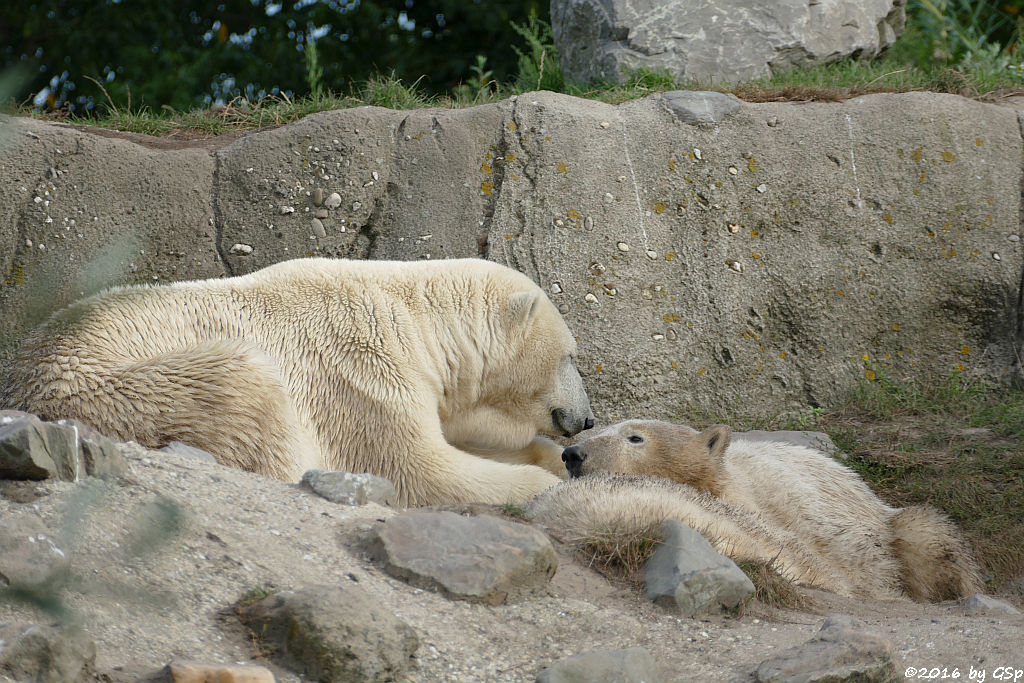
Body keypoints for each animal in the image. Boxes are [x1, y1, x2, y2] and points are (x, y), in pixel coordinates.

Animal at [2, 259, 593, 505]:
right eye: (572, 356)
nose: (588, 419)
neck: (418, 322)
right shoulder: (363, 372)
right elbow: (417, 469)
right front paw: (546, 481)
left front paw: (552, 459)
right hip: (131, 388)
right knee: (245, 389)